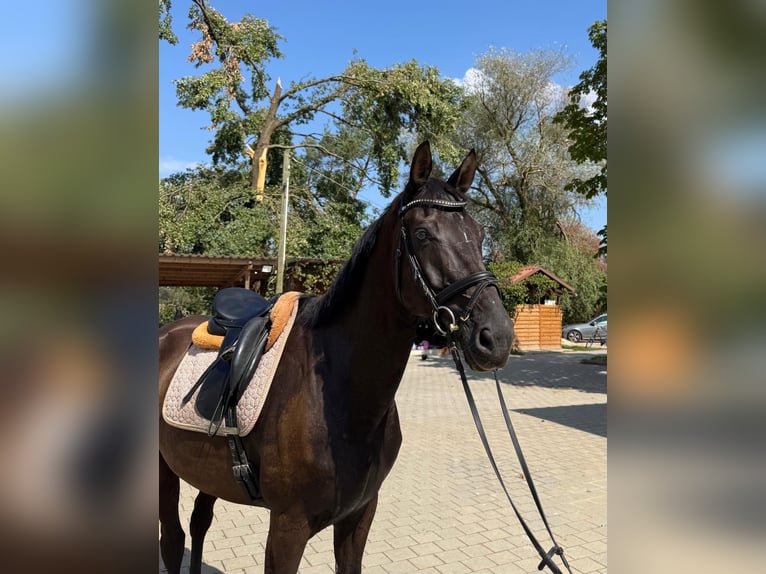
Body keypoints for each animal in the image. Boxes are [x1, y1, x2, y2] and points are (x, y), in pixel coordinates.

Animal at [159, 141, 514, 573]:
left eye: (479, 235)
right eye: (424, 234)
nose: (497, 337)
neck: (343, 399)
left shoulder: (359, 516)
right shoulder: (287, 528)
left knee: (199, 523)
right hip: (163, 472)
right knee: (173, 539)